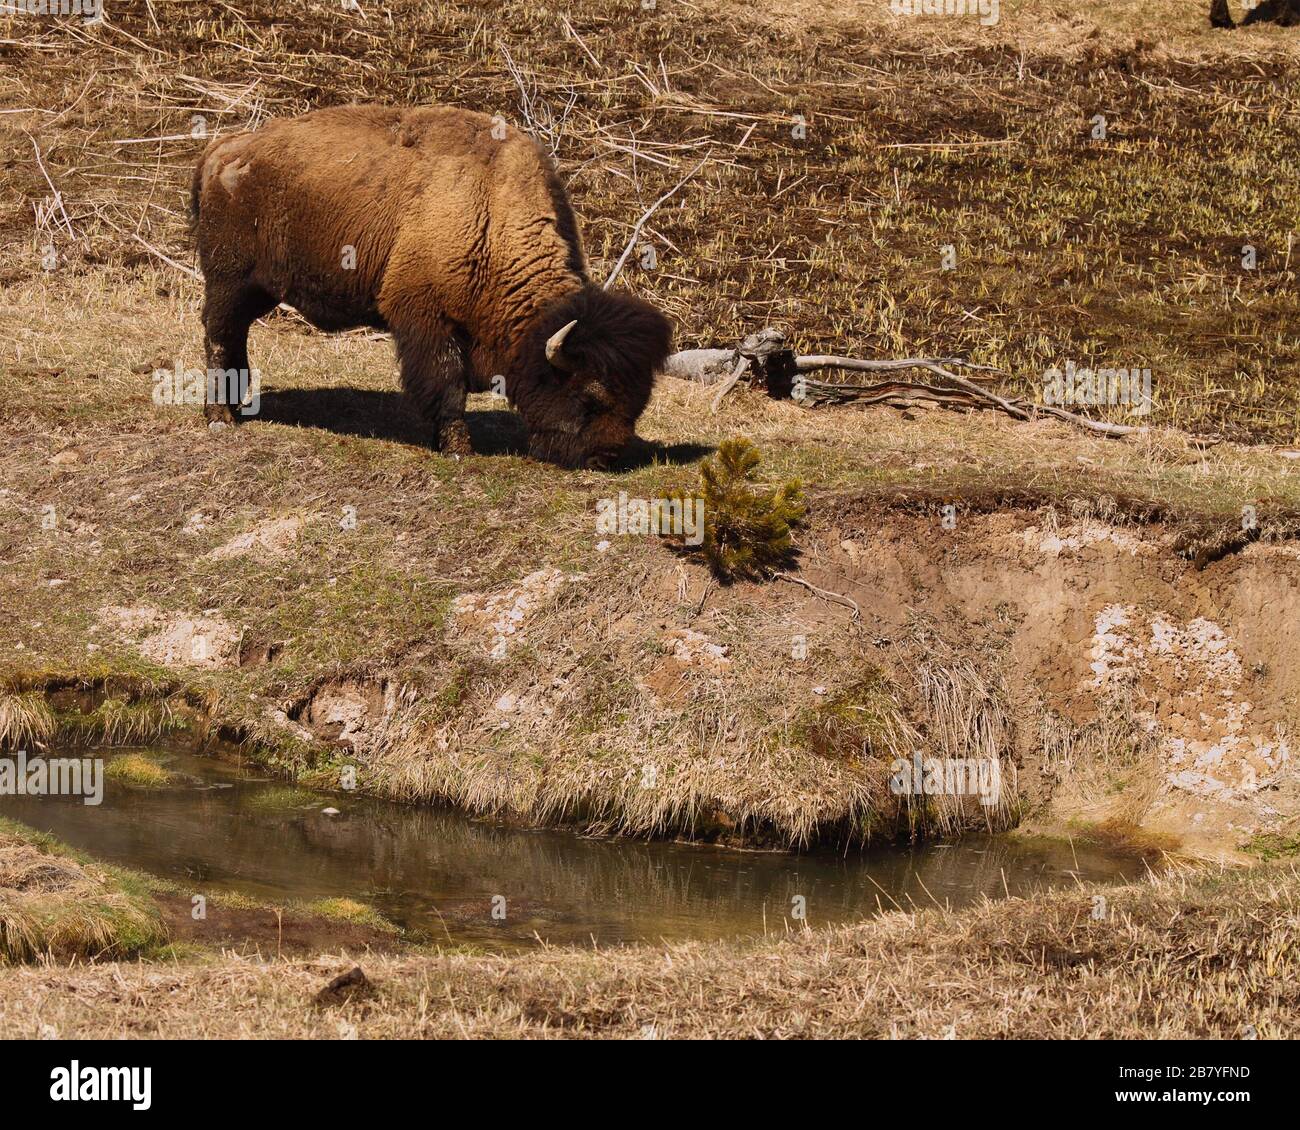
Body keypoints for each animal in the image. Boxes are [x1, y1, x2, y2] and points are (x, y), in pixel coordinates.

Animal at [193, 101, 681, 462]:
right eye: (589, 398)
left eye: (638, 401)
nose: (607, 456)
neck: (492, 212)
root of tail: (223, 150)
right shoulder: (426, 318)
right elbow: (447, 383)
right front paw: (458, 448)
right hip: (228, 280)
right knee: (219, 335)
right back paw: (219, 417)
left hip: (258, 290)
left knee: (235, 336)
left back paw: (236, 407)